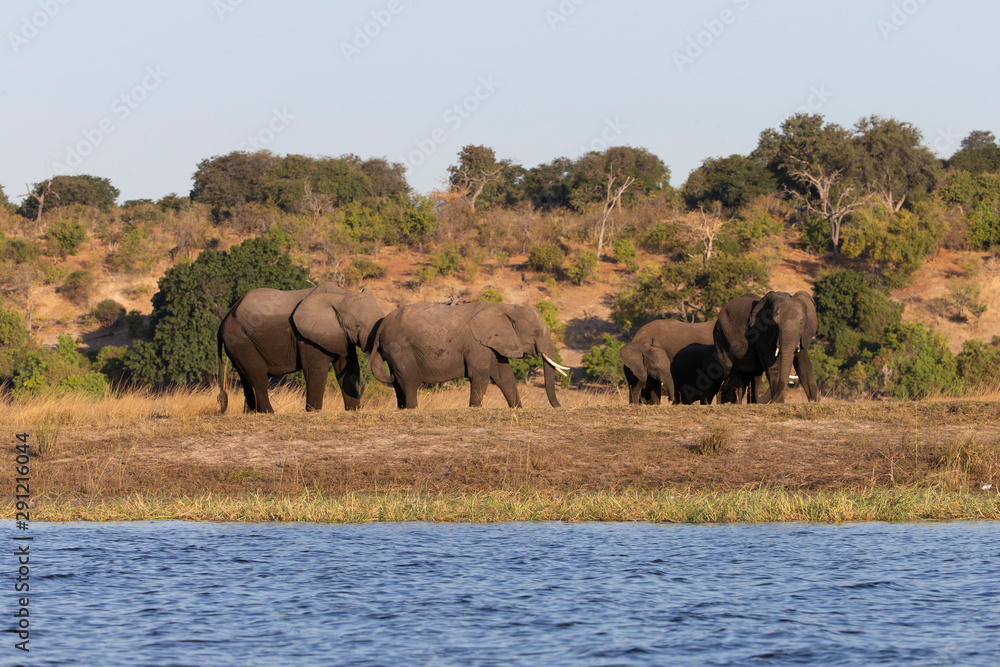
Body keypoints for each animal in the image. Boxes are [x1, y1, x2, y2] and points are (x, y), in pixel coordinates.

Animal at [217, 283, 385, 413]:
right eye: (357, 326)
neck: (341, 294)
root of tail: (223, 321)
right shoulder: (307, 338)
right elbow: (316, 371)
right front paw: (314, 412)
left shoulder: (340, 335)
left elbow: (349, 370)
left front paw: (353, 410)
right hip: (241, 341)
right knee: (258, 377)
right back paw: (268, 413)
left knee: (247, 379)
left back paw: (250, 413)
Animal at [368, 302, 570, 409]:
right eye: (535, 332)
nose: (560, 407)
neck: (506, 308)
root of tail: (380, 328)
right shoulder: (477, 345)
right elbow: (480, 376)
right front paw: (475, 408)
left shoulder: (493, 345)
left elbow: (505, 376)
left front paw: (517, 409)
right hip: (400, 349)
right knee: (409, 382)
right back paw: (413, 409)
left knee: (398, 384)